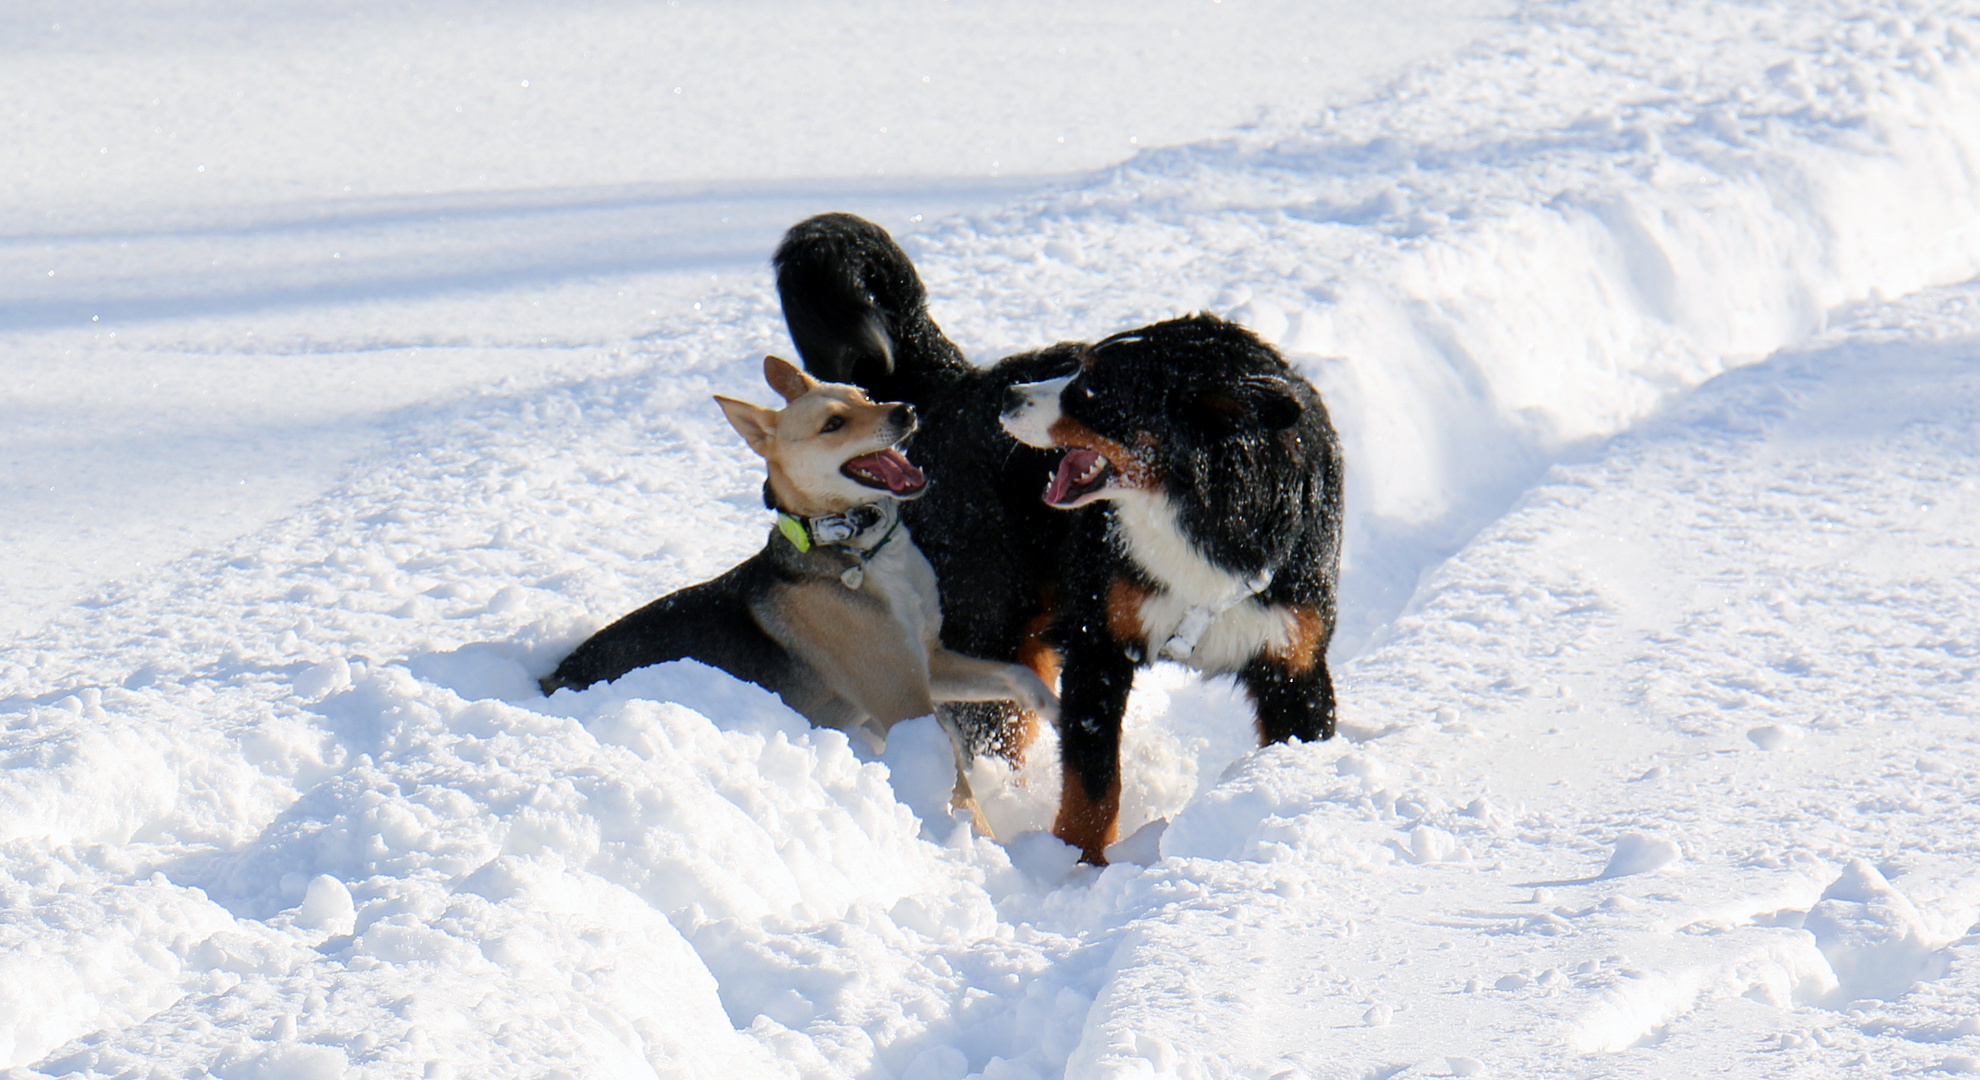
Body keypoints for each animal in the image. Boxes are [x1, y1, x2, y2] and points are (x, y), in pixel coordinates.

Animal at [772, 213, 1346, 860]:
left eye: (1093, 390)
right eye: (1082, 364)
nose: (1013, 396)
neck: (1202, 519)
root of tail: (961, 381)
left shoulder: (1293, 665)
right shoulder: (1097, 645)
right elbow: (1093, 787)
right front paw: (1074, 866)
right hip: (994, 624)